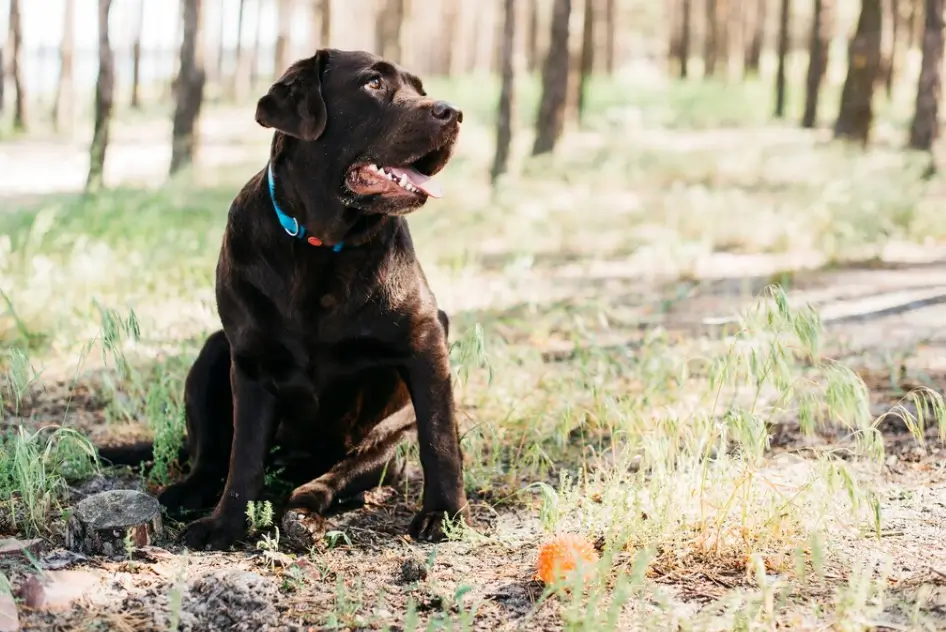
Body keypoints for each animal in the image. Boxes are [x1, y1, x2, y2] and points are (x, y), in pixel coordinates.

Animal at [104, 49, 468, 552]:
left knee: (325, 482)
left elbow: (439, 438)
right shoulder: (251, 364)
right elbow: (242, 458)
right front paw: (226, 524)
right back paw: (189, 492)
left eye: (420, 88)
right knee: (212, 457)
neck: (322, 248)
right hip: (213, 351)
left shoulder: (426, 339)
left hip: (383, 443)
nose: (453, 112)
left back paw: (303, 516)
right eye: (373, 83)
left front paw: (444, 513)